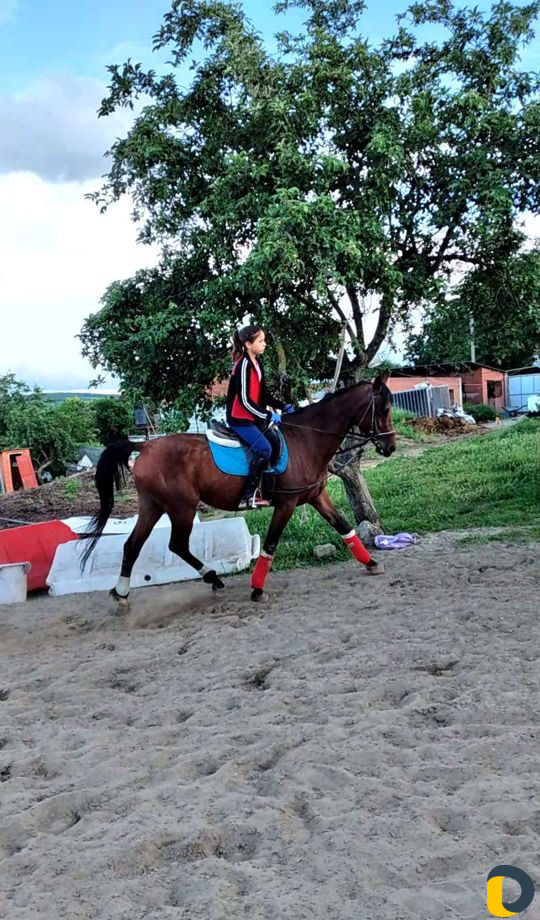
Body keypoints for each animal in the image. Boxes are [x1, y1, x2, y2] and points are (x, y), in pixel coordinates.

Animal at [82, 375, 396, 603]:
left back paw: (122, 593)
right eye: (384, 409)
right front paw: (257, 589)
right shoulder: (287, 504)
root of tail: (145, 446)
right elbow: (270, 545)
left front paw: (371, 563)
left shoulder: (317, 496)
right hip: (181, 507)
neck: (306, 440)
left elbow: (344, 527)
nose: (390, 446)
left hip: (153, 506)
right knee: (176, 544)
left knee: (133, 545)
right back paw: (212, 578)